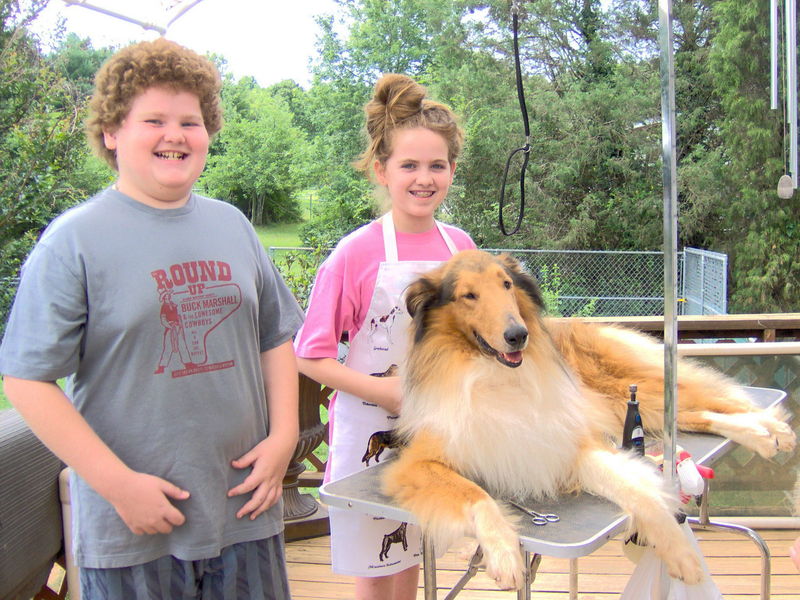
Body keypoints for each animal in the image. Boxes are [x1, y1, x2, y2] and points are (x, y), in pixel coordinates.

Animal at [382, 249, 796, 590]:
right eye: (468, 295)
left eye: (506, 284)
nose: (518, 335)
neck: (492, 374)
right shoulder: (415, 465)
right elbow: (478, 496)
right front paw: (505, 555)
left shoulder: (572, 443)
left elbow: (642, 493)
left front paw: (680, 553)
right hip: (631, 405)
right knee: (699, 414)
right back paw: (764, 435)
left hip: (632, 387)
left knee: (716, 398)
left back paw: (774, 430)